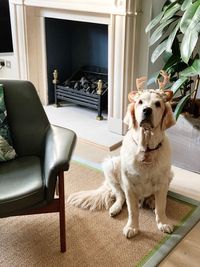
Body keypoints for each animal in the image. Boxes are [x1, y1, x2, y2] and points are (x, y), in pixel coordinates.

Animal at [68, 72, 176, 240]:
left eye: (158, 104)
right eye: (140, 102)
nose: (146, 110)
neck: (146, 147)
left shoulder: (163, 181)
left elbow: (161, 206)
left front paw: (163, 223)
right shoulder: (129, 185)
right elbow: (132, 210)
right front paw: (132, 227)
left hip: (170, 174)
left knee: (153, 199)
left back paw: (151, 201)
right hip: (111, 166)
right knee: (120, 196)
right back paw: (115, 208)